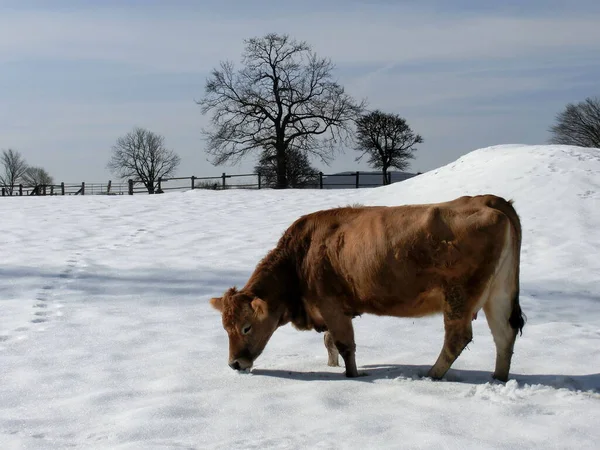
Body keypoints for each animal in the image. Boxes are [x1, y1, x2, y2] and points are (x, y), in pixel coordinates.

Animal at [210, 195, 524, 382]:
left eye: (247, 327)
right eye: (225, 328)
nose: (234, 364)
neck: (301, 255)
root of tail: (488, 200)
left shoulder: (331, 305)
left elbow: (344, 343)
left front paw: (352, 376)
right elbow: (330, 341)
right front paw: (332, 366)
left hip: (459, 296)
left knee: (457, 338)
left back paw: (431, 374)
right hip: (498, 294)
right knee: (504, 334)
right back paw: (499, 377)